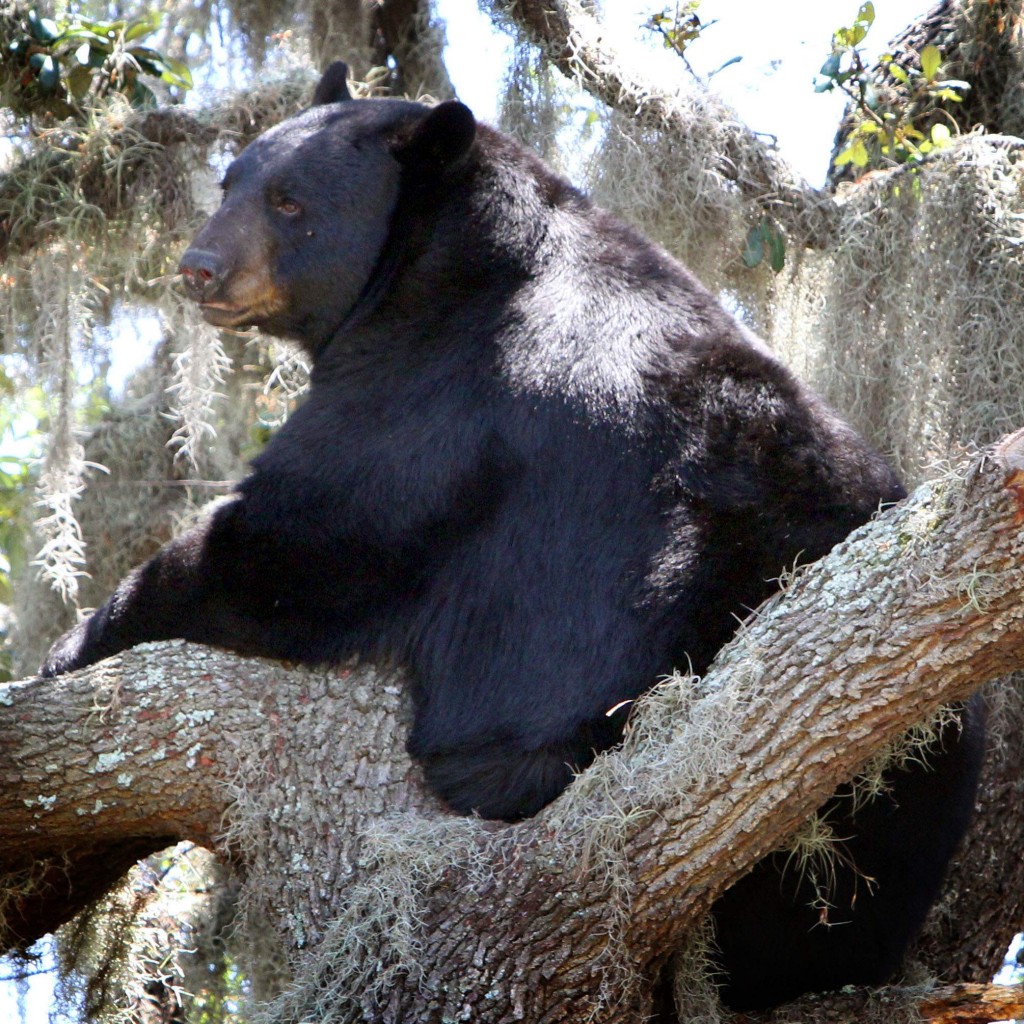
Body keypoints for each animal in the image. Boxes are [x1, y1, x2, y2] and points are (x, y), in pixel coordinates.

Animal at [41, 61, 983, 1007]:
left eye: (290, 202)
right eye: (230, 183)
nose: (198, 268)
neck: (451, 252)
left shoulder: (433, 383)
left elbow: (304, 539)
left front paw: (76, 643)